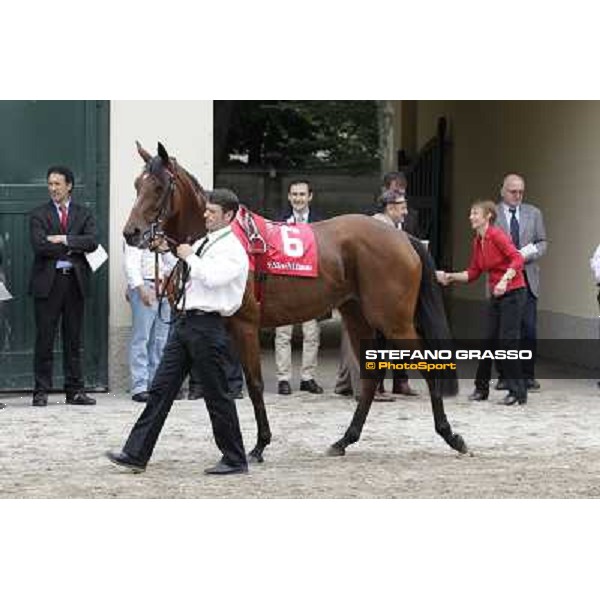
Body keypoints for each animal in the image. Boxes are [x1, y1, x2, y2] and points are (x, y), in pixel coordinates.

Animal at [123, 143, 468, 462]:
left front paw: (259, 445)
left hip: (394, 321)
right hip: (358, 317)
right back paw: (345, 440)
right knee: (370, 378)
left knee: (427, 367)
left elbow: (254, 384)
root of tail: (401, 237)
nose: (131, 232)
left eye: (158, 187)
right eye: (137, 185)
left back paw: (451, 436)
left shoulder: (244, 325)